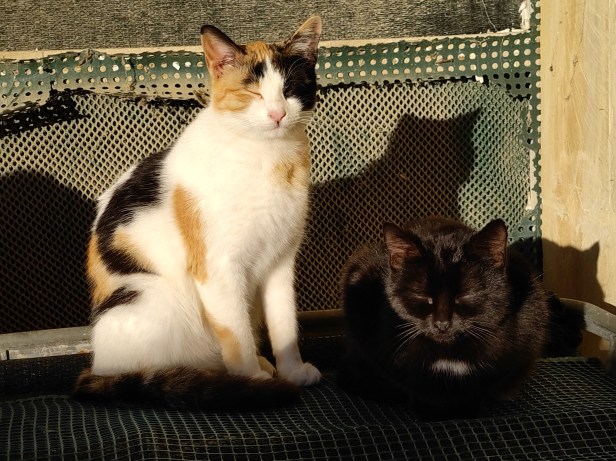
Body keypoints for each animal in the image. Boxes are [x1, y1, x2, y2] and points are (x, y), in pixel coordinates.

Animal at [73, 16, 323, 411]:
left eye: (290, 89)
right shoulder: (218, 266)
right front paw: (250, 380)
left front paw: (292, 370)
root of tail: (98, 369)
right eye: (252, 93)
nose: (278, 114)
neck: (270, 159)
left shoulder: (281, 262)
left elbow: (284, 323)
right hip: (152, 298)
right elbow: (236, 333)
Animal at [338, 216, 583, 420]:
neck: (448, 356)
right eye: (421, 296)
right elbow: (414, 385)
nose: (442, 323)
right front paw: (431, 410)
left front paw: (468, 408)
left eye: (466, 296)